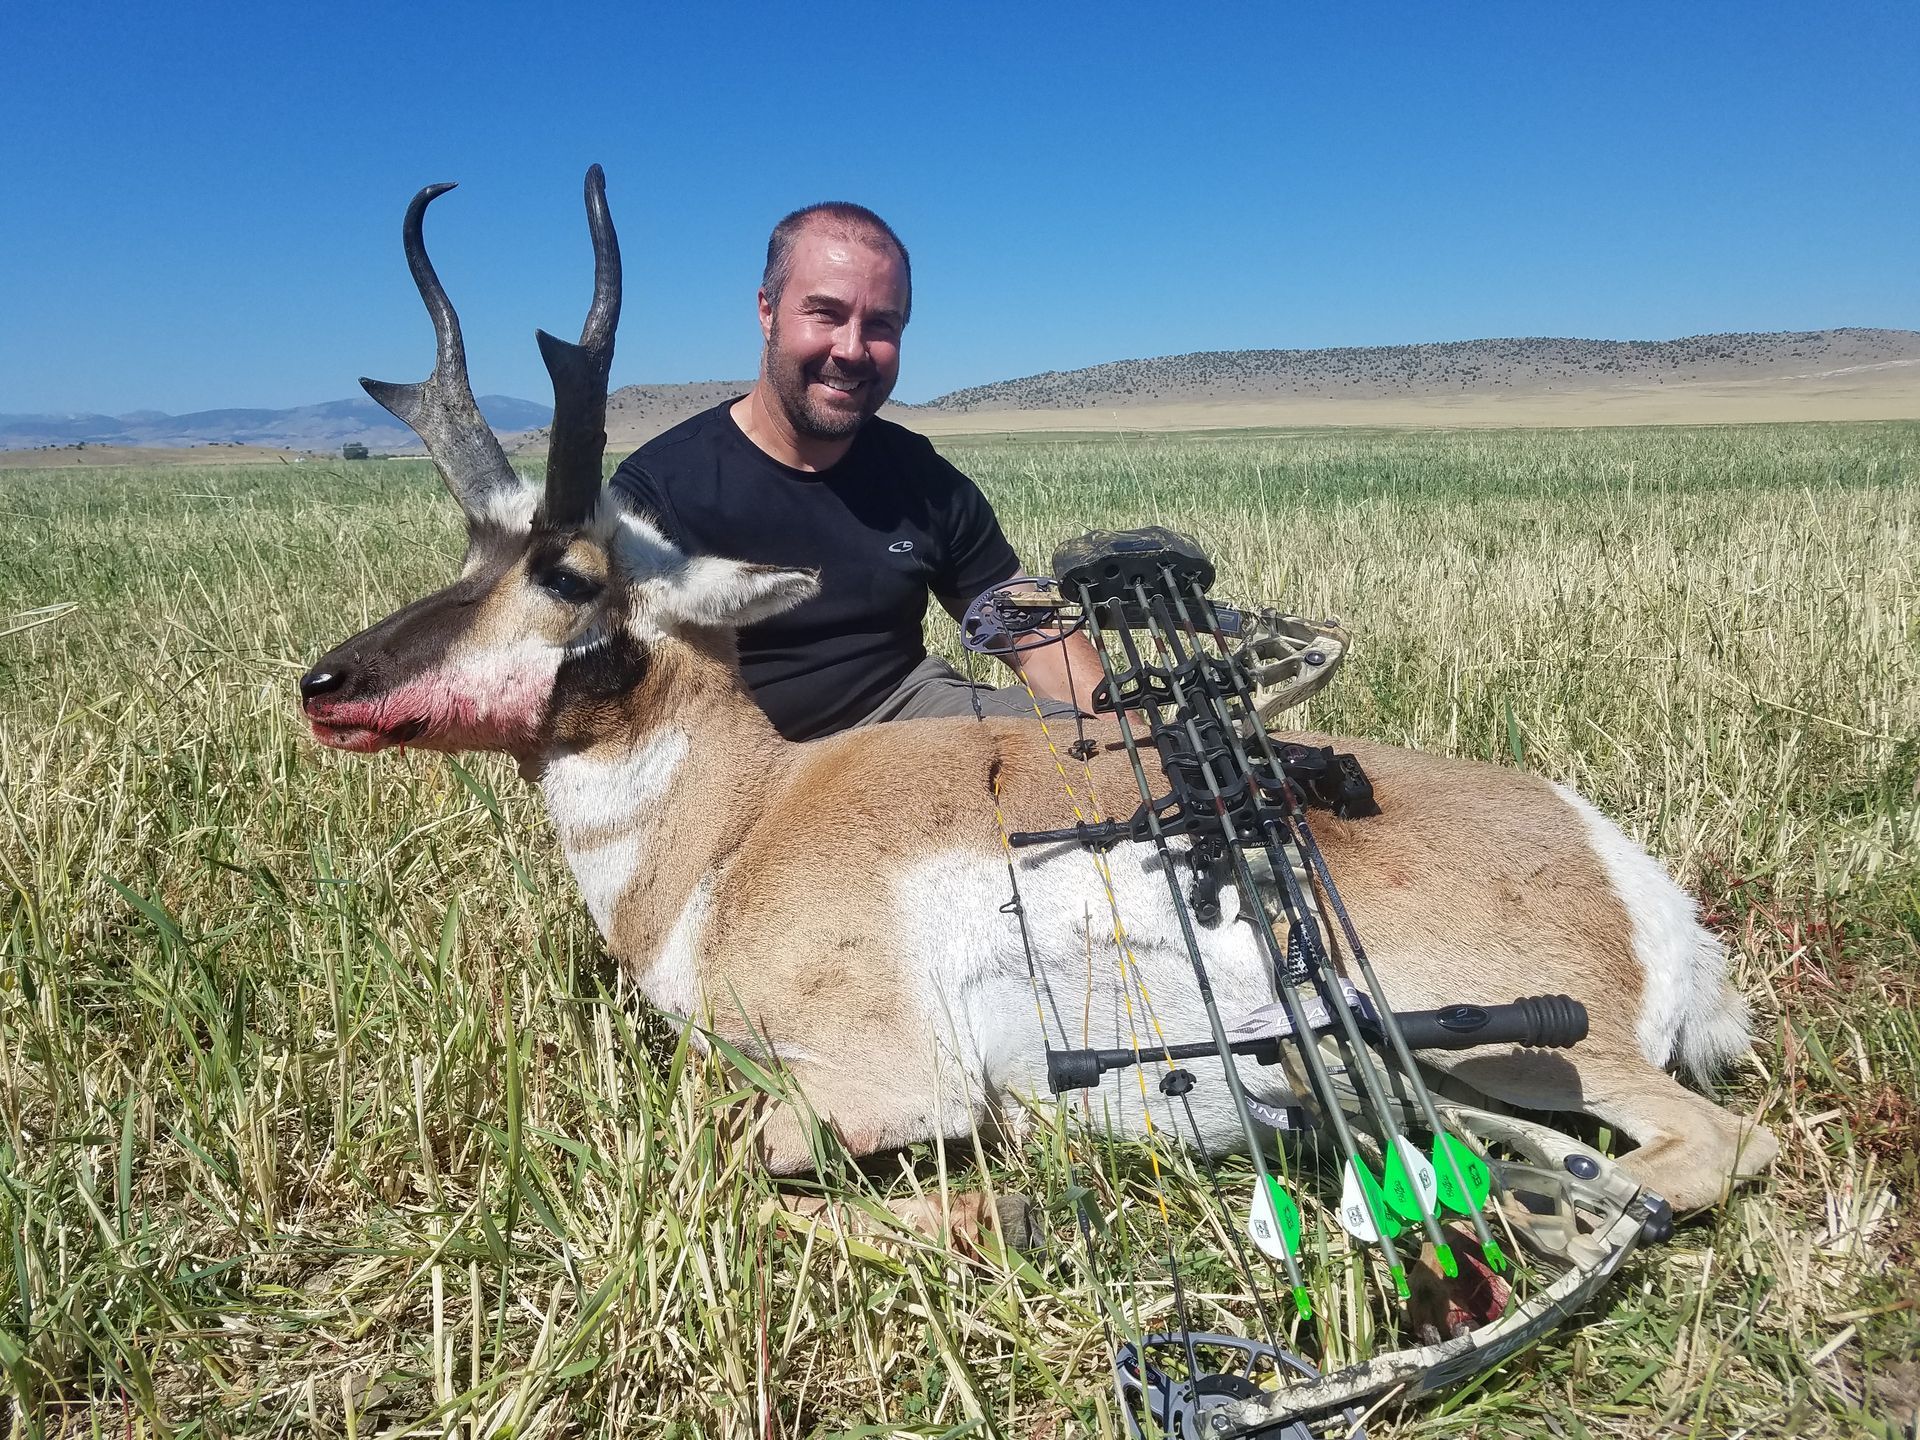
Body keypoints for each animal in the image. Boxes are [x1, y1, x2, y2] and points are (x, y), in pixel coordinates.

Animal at [299, 169, 1776, 1246]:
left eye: (566, 573)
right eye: (469, 553)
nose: (326, 685)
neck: (738, 830)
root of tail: (1627, 877)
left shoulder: (881, 1084)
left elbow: (766, 1167)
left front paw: (998, 1197)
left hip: (1509, 1034)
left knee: (1710, 1145)